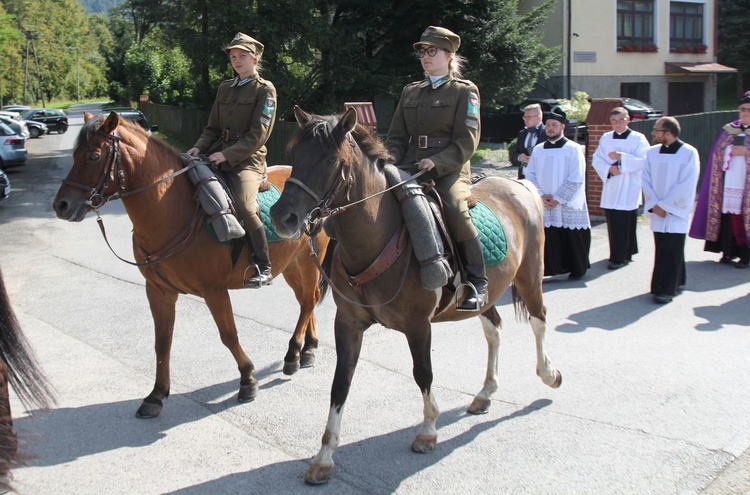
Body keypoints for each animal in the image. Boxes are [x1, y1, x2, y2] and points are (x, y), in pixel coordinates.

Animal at [53, 112, 332, 418]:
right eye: (75, 154)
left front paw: (247, 380)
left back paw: (294, 355)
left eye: (93, 156)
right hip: (291, 266)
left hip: (308, 261)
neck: (175, 210)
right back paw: (308, 349)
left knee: (308, 300)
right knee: (307, 300)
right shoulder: (159, 291)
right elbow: (162, 341)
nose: (61, 205)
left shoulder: (214, 291)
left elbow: (228, 335)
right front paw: (156, 395)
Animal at [270, 108, 564, 484]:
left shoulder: (418, 325)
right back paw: (485, 392)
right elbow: (340, 383)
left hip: (529, 277)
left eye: (330, 159)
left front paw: (427, 431)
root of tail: (519, 185)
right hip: (487, 295)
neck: (379, 238)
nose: (283, 217)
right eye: (294, 155)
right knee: (494, 330)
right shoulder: (348, 323)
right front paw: (324, 457)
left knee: (539, 320)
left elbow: (423, 373)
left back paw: (549, 374)